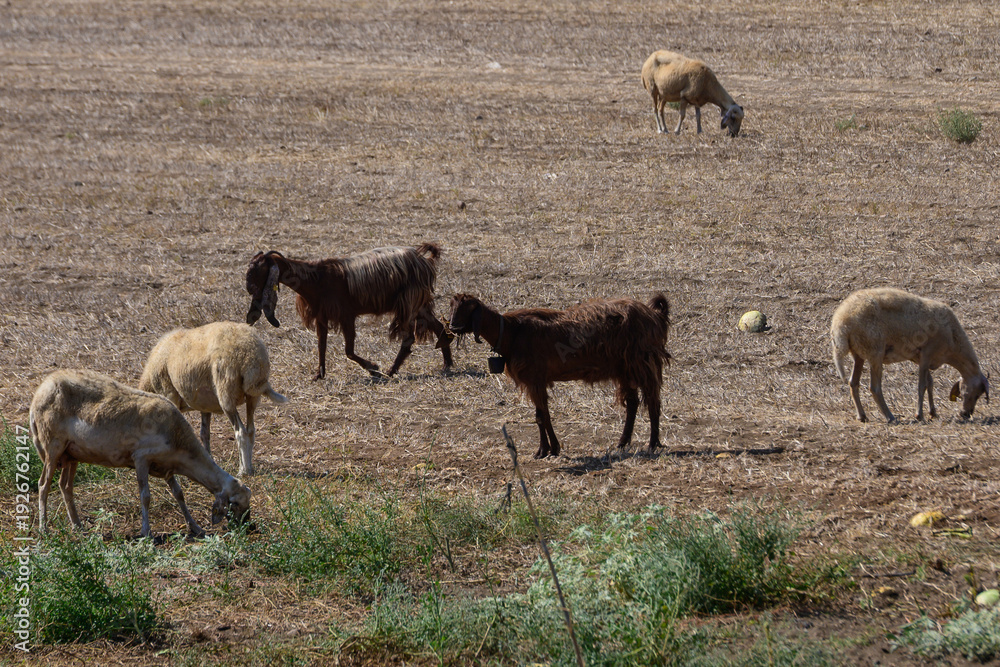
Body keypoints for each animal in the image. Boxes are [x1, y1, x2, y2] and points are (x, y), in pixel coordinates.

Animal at [29, 369, 251, 538]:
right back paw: (44, 529)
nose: (249, 526)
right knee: (43, 485)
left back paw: (78, 526)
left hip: (71, 453)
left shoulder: (166, 466)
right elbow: (145, 496)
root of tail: (39, 392)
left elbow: (179, 494)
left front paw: (195, 527)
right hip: (52, 446)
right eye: (235, 503)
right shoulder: (141, 458)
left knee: (65, 486)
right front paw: (146, 532)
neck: (179, 441)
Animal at [138, 321, 287, 477]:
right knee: (251, 430)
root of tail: (252, 355)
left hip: (226, 392)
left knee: (240, 432)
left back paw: (244, 471)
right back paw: (249, 468)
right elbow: (205, 434)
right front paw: (208, 460)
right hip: (253, 396)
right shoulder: (205, 406)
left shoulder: (168, 394)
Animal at [245, 244, 454, 380]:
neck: (316, 279)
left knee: (408, 339)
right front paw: (319, 374)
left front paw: (373, 368)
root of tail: (425, 260)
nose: (248, 287)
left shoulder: (346, 316)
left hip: (408, 302)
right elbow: (322, 346)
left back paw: (390, 371)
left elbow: (349, 351)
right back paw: (447, 365)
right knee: (439, 328)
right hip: (419, 305)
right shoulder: (322, 317)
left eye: (258, 269)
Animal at [448, 292, 671, 458]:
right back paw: (622, 443)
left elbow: (541, 416)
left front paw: (548, 449)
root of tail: (654, 314)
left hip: (642, 362)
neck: (512, 332)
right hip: (624, 368)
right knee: (632, 402)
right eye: (451, 307)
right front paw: (547, 449)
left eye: (468, 309)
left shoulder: (536, 379)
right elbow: (541, 415)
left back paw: (652, 444)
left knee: (653, 401)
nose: (452, 327)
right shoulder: (536, 381)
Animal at [830, 287, 990, 423]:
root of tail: (841, 324)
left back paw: (862, 416)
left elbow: (930, 383)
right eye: (977, 394)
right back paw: (890, 417)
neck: (953, 341)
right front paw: (919, 415)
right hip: (875, 352)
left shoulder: (920, 358)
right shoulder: (926, 354)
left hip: (858, 354)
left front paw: (933, 413)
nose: (966, 414)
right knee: (874, 388)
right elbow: (922, 385)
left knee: (853, 382)